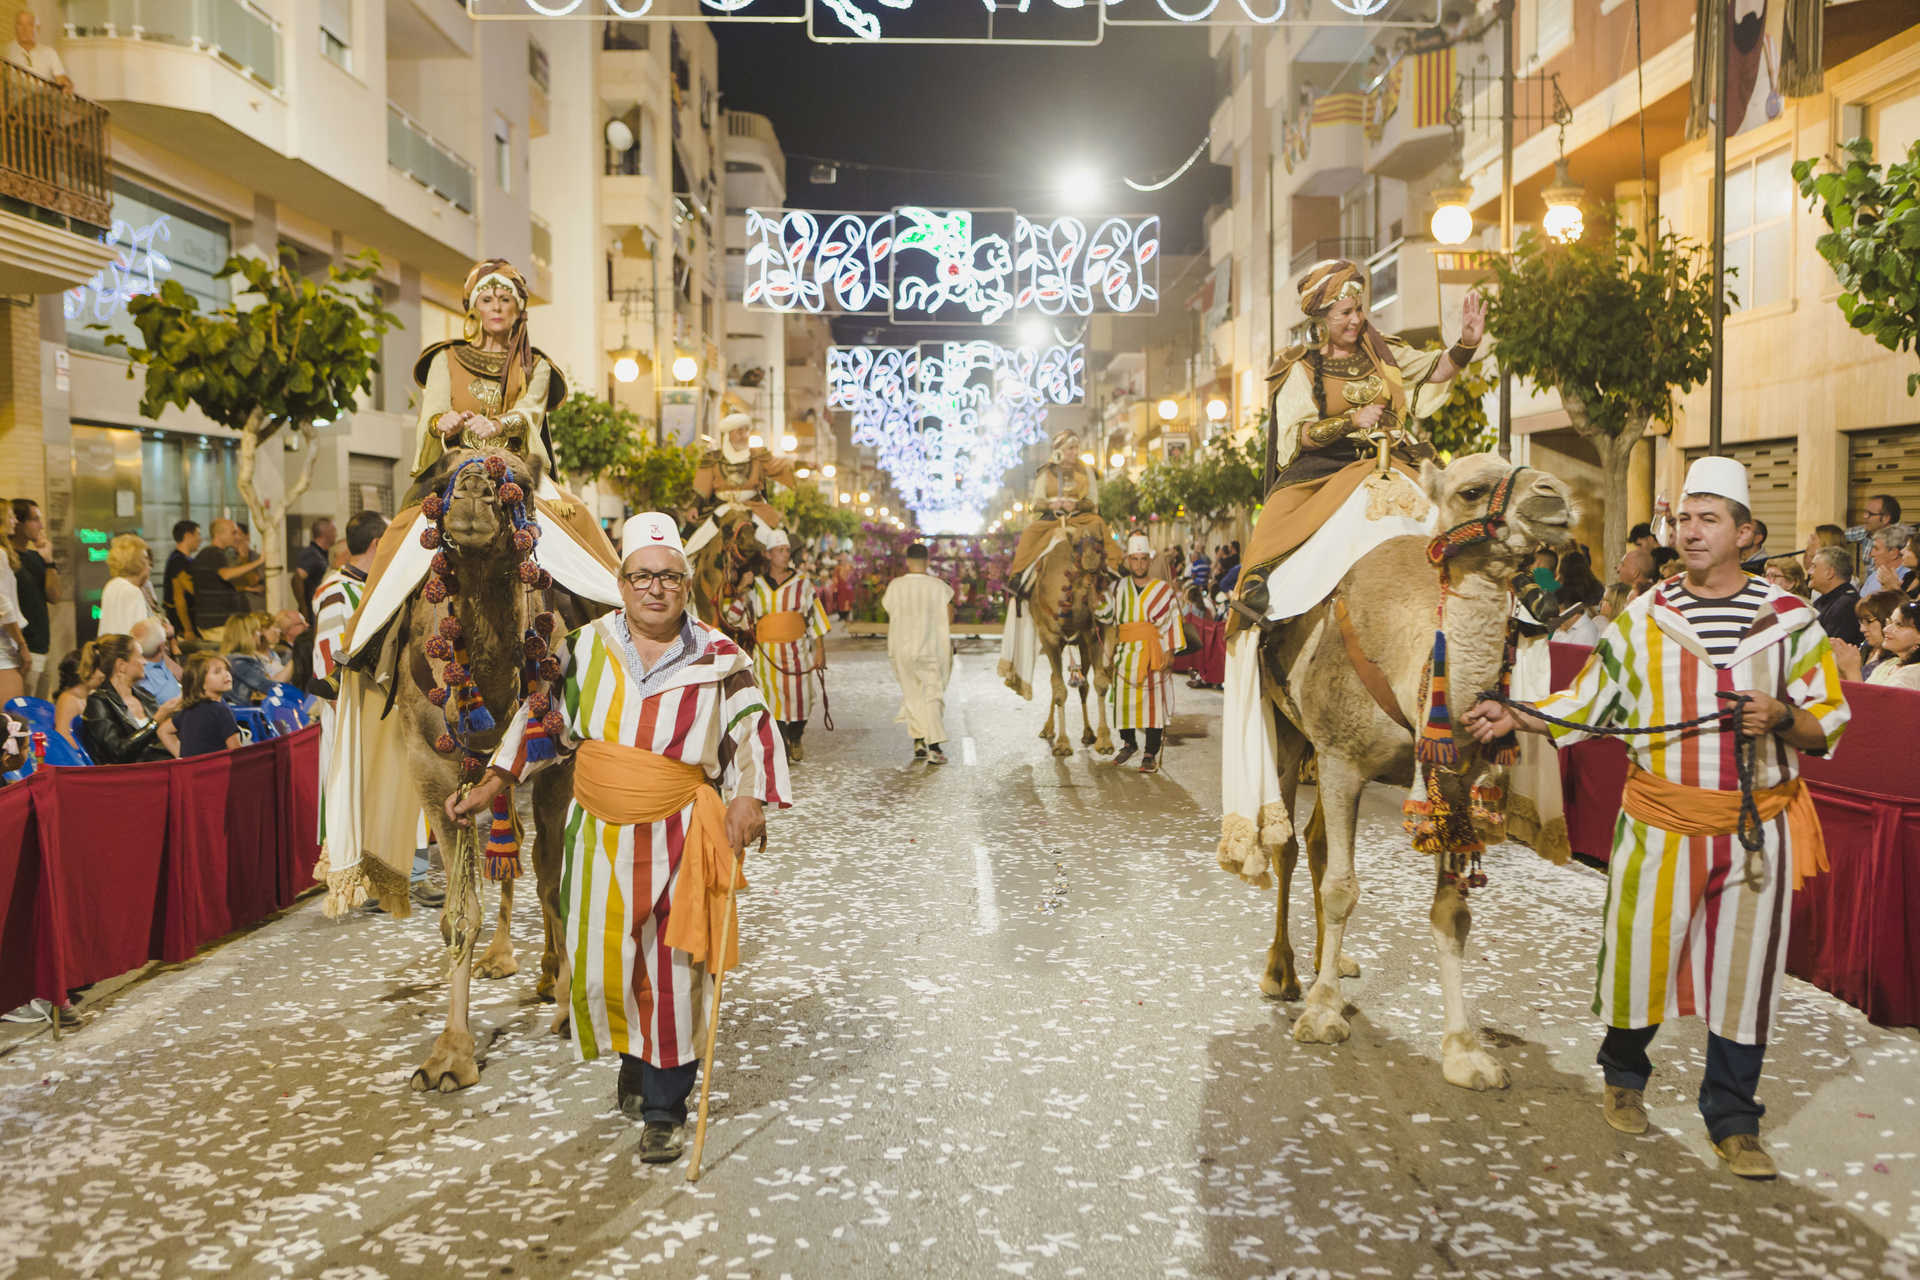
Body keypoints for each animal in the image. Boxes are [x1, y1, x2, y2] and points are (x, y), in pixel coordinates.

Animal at [397, 449, 591, 1090]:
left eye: (522, 485)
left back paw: (549, 973)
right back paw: (504, 960)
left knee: (536, 855)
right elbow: (459, 915)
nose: (475, 495)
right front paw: (449, 1055)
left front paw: (567, 1006)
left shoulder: (559, 759)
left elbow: (554, 879)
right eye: (440, 479)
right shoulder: (431, 767)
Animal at [1221, 450, 1566, 1090]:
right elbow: (1341, 888)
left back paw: (1328, 963)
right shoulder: (1340, 760)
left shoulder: (1451, 781)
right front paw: (1322, 1015)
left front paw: (1464, 1051)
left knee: (1316, 840)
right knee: (1289, 846)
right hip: (1286, 730)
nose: (1554, 495)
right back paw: (1284, 974)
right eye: (1471, 490)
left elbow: (1452, 914)